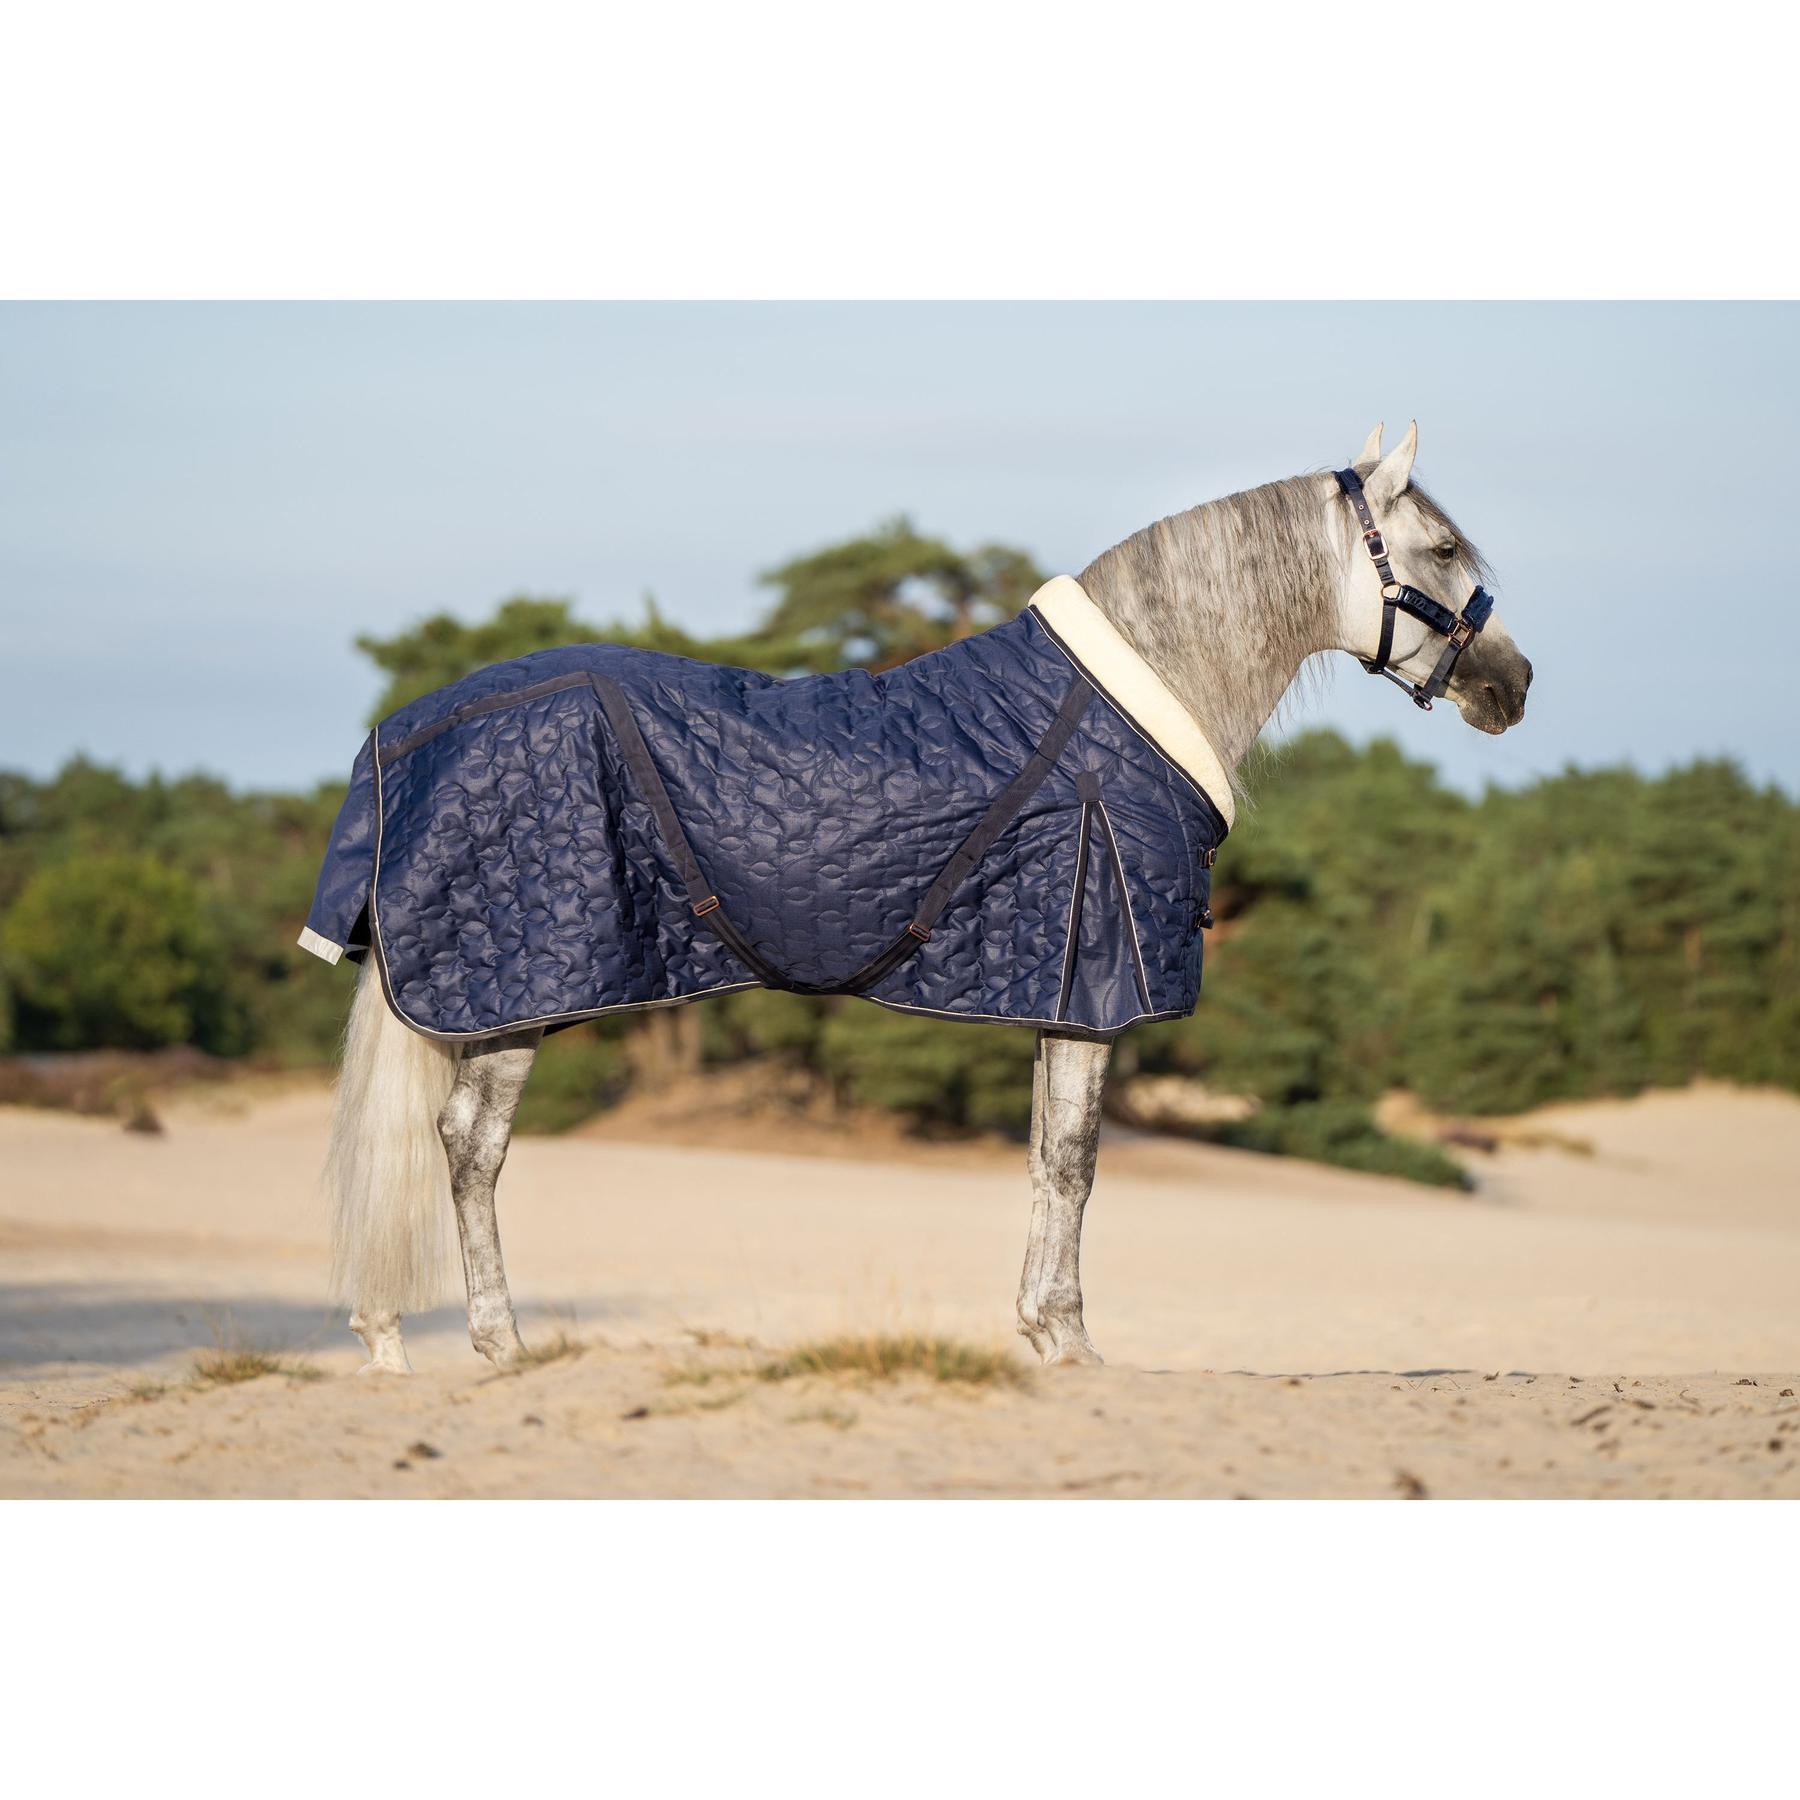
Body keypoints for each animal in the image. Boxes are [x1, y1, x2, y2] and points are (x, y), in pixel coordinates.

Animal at [304, 422, 1532, 1373]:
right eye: (1440, 546)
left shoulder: (1059, 990)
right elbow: (1079, 1164)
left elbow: (1046, 1158)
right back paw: (500, 1345)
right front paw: (1073, 1342)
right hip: (521, 986)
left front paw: (1040, 1332)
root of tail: (404, 735)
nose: (1513, 686)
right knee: (471, 1147)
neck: (1132, 704)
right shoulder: (1097, 982)